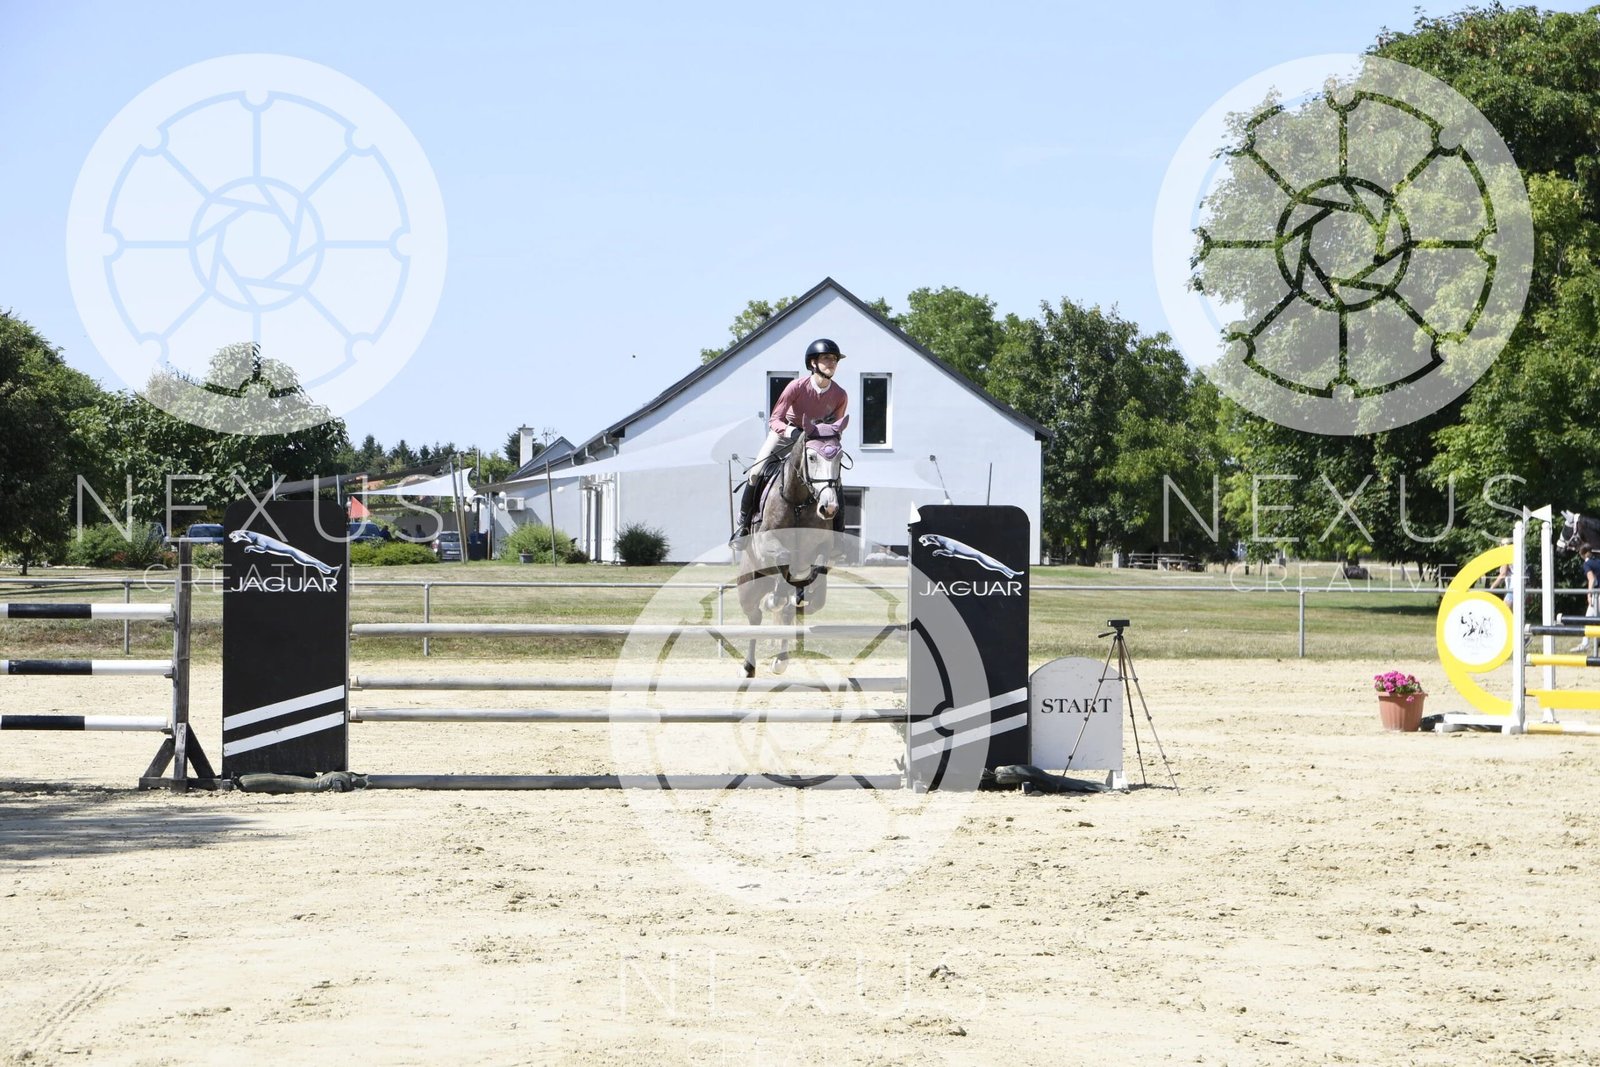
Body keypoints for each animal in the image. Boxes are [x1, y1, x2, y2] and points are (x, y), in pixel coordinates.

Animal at [735, 426, 847, 677]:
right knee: (755, 616)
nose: (829, 508)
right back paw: (748, 667)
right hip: (748, 587)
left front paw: (802, 590)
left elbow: (818, 563)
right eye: (812, 457)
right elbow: (783, 555)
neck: (798, 501)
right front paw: (778, 595)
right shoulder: (765, 541)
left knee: (793, 610)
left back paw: (781, 659)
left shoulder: (823, 546)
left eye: (839, 458)